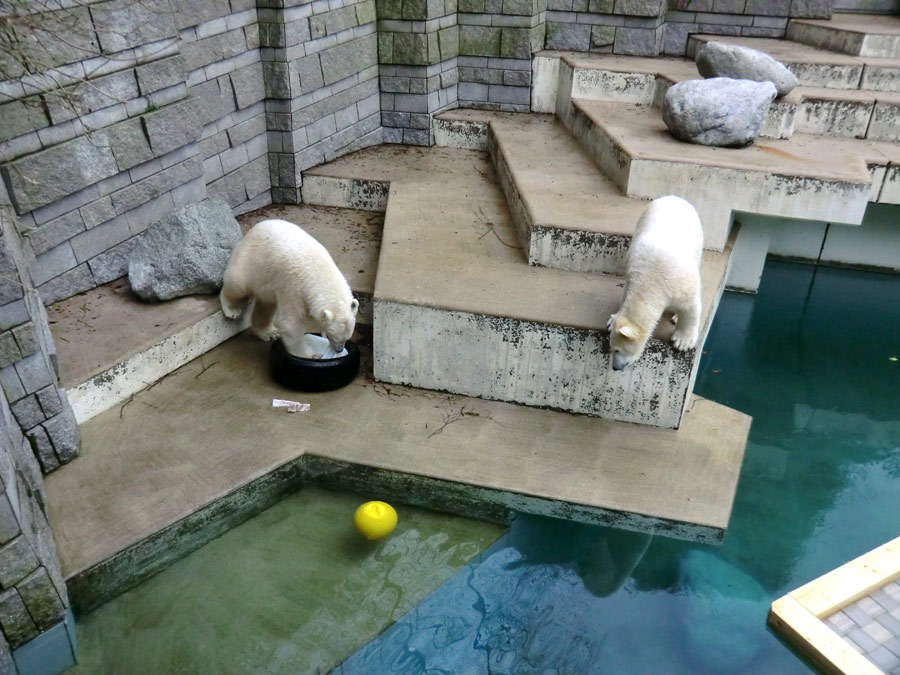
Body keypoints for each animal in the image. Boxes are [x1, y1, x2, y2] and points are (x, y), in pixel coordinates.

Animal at [219, 220, 358, 360]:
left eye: (348, 337)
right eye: (330, 335)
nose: (339, 350)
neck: (319, 271)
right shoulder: (295, 286)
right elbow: (291, 324)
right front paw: (311, 355)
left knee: (267, 303)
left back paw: (268, 332)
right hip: (249, 262)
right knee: (237, 284)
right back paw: (232, 309)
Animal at [604, 195, 704, 372]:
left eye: (618, 350)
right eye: (611, 347)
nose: (615, 367)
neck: (652, 281)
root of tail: (674, 197)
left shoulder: (680, 284)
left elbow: (691, 307)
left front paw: (683, 341)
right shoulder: (632, 274)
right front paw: (611, 320)